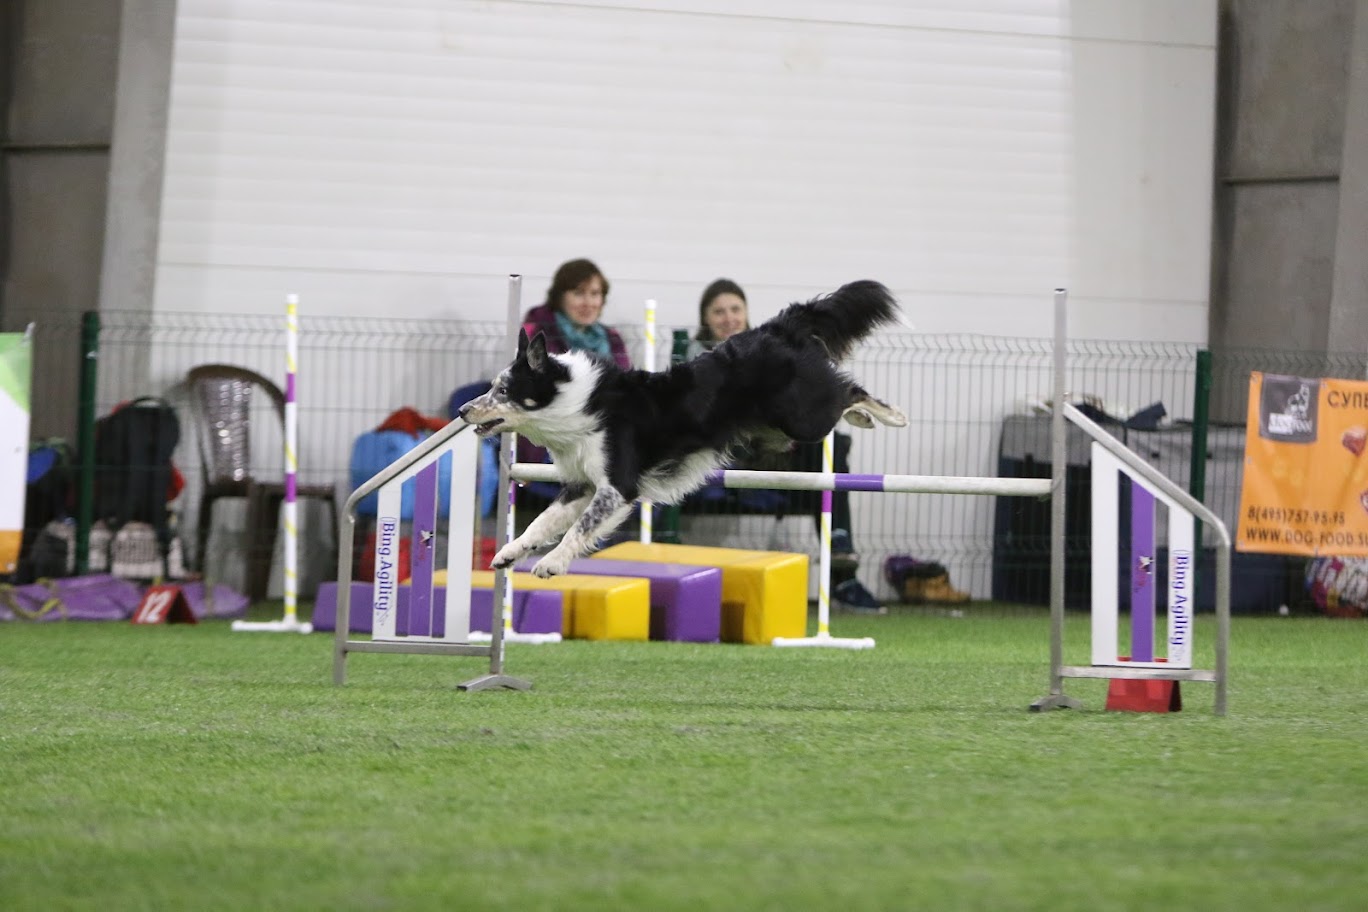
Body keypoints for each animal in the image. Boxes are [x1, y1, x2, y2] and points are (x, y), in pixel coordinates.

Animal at [458, 279, 908, 577]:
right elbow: (542, 521)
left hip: (803, 417)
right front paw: (510, 553)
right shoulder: (581, 482)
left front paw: (551, 563)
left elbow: (578, 528)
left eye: (502, 390)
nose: (463, 411)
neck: (572, 401)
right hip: (779, 431)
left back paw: (890, 415)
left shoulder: (618, 486)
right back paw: (867, 418)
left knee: (848, 390)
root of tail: (775, 328)